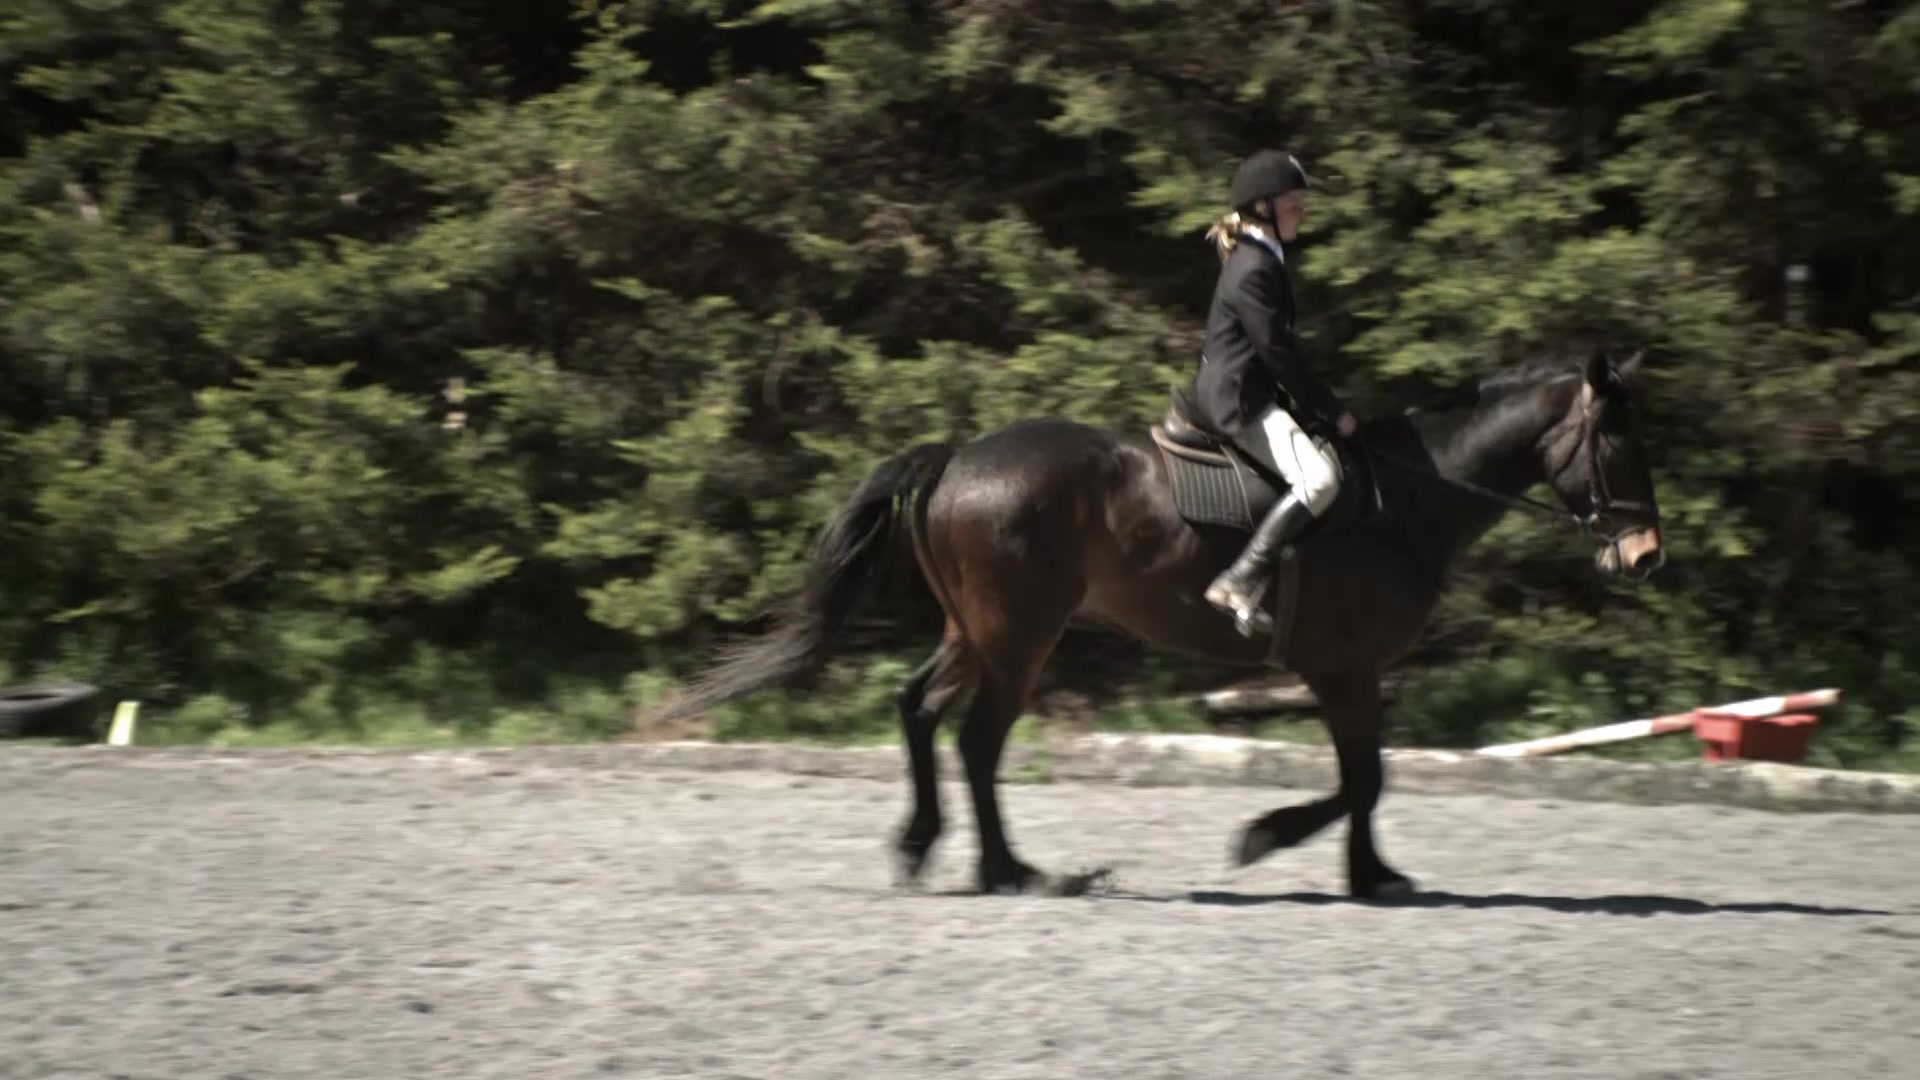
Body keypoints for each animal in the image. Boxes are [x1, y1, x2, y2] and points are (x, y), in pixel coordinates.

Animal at [641, 349, 1666, 895]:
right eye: (1617, 442)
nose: (1646, 556)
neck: (1409, 499)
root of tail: (957, 456)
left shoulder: (1355, 673)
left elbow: (1367, 779)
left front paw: (1372, 877)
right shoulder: (1341, 668)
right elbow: (1361, 779)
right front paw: (1269, 839)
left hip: (978, 633)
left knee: (919, 710)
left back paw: (924, 845)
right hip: (1020, 636)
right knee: (976, 739)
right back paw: (1017, 871)